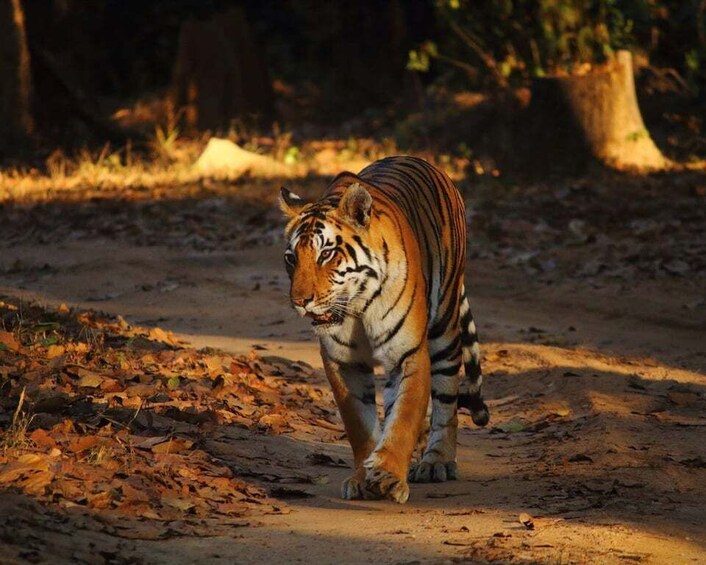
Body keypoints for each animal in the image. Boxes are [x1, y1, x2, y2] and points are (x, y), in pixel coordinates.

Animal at [279, 155, 489, 503]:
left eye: (326, 254)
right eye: (291, 259)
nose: (300, 301)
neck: (357, 306)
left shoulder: (409, 353)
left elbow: (403, 418)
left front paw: (389, 476)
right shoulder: (343, 362)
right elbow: (360, 423)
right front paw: (365, 477)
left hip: (444, 329)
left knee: (446, 401)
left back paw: (436, 462)